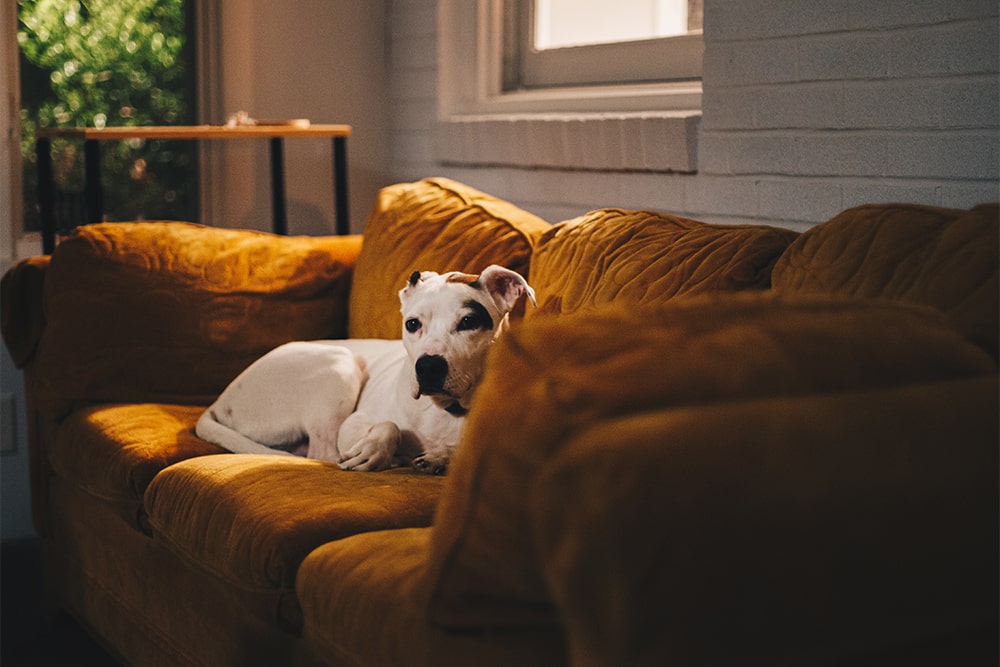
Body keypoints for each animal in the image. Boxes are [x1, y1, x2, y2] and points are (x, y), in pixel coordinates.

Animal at [198, 264, 536, 474]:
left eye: (468, 322)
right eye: (412, 324)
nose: (427, 366)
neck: (448, 411)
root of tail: (221, 401)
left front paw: (440, 457)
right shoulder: (354, 424)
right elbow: (389, 426)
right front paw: (374, 450)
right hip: (340, 366)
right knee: (324, 452)